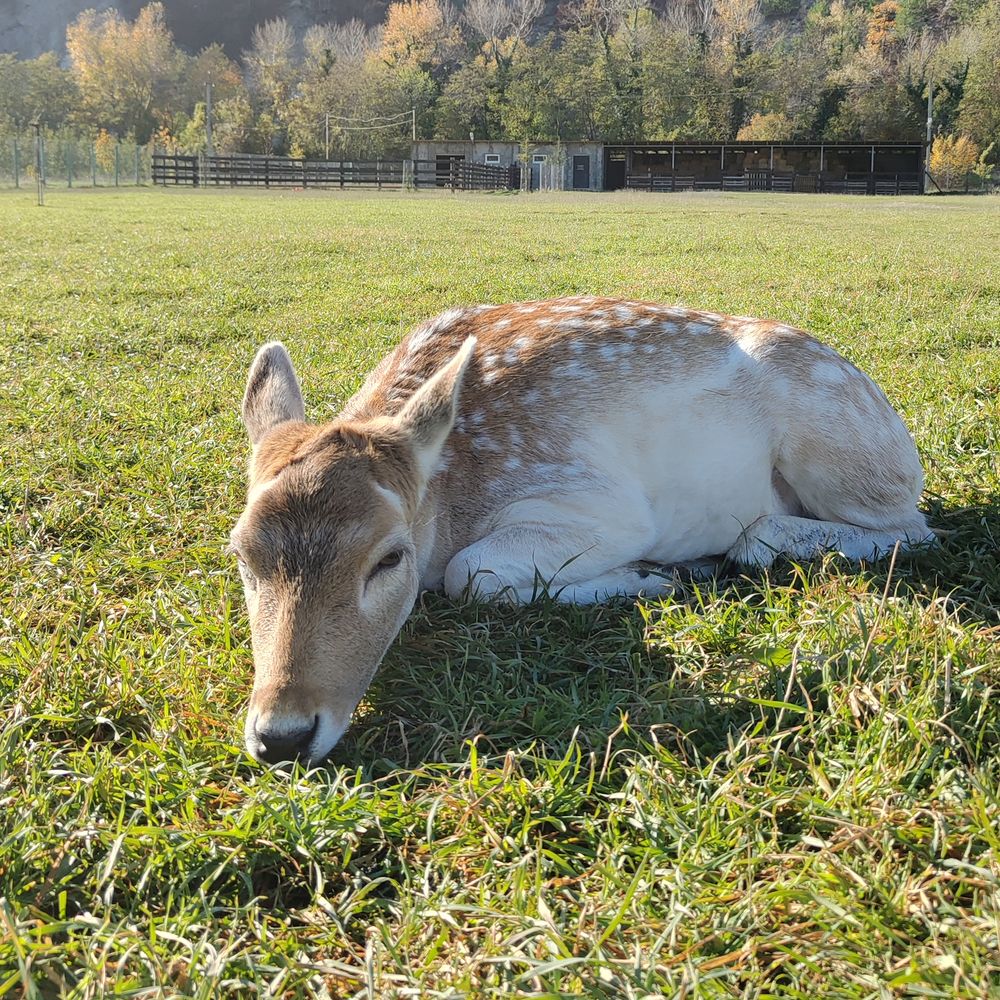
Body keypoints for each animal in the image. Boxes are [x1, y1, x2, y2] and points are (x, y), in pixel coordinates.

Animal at [230, 296, 932, 764]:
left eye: (389, 557)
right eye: (241, 554)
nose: (281, 736)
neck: (446, 503)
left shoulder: (603, 504)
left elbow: (472, 569)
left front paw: (649, 575)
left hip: (845, 454)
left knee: (909, 528)